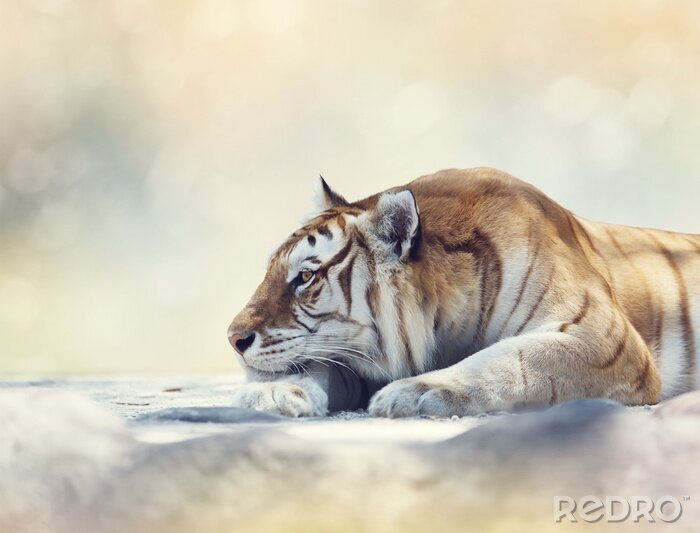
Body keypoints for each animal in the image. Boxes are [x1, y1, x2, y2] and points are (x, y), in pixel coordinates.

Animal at [227, 167, 700, 418]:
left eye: (305, 277)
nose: (233, 339)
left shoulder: (602, 338)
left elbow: (511, 360)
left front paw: (410, 393)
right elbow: (315, 366)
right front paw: (270, 392)